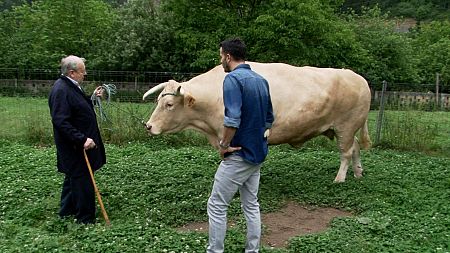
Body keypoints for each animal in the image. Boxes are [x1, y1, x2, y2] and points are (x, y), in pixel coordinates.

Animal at [143, 62, 370, 183]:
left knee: (346, 152)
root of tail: (358, 77)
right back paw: (358, 173)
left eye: (169, 104)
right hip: (346, 128)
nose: (149, 126)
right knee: (356, 146)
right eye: (158, 100)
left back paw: (340, 178)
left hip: (345, 126)